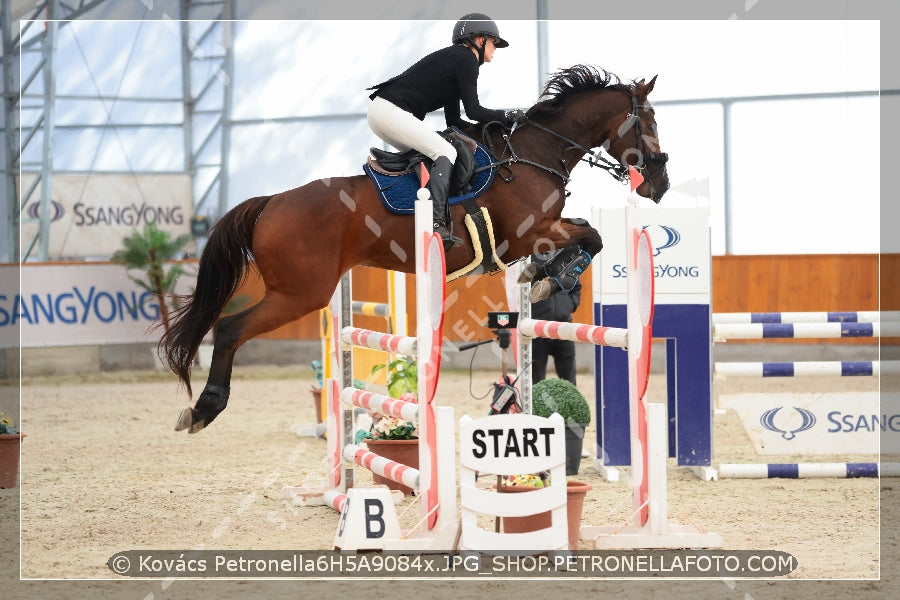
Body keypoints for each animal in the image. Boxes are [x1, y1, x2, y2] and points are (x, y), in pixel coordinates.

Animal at [163, 64, 668, 432]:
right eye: (648, 122)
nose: (659, 184)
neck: (533, 154)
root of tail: (270, 203)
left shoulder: (543, 229)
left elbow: (585, 233)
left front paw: (540, 278)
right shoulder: (527, 232)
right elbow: (591, 236)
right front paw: (551, 277)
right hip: (300, 293)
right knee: (229, 328)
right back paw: (203, 409)